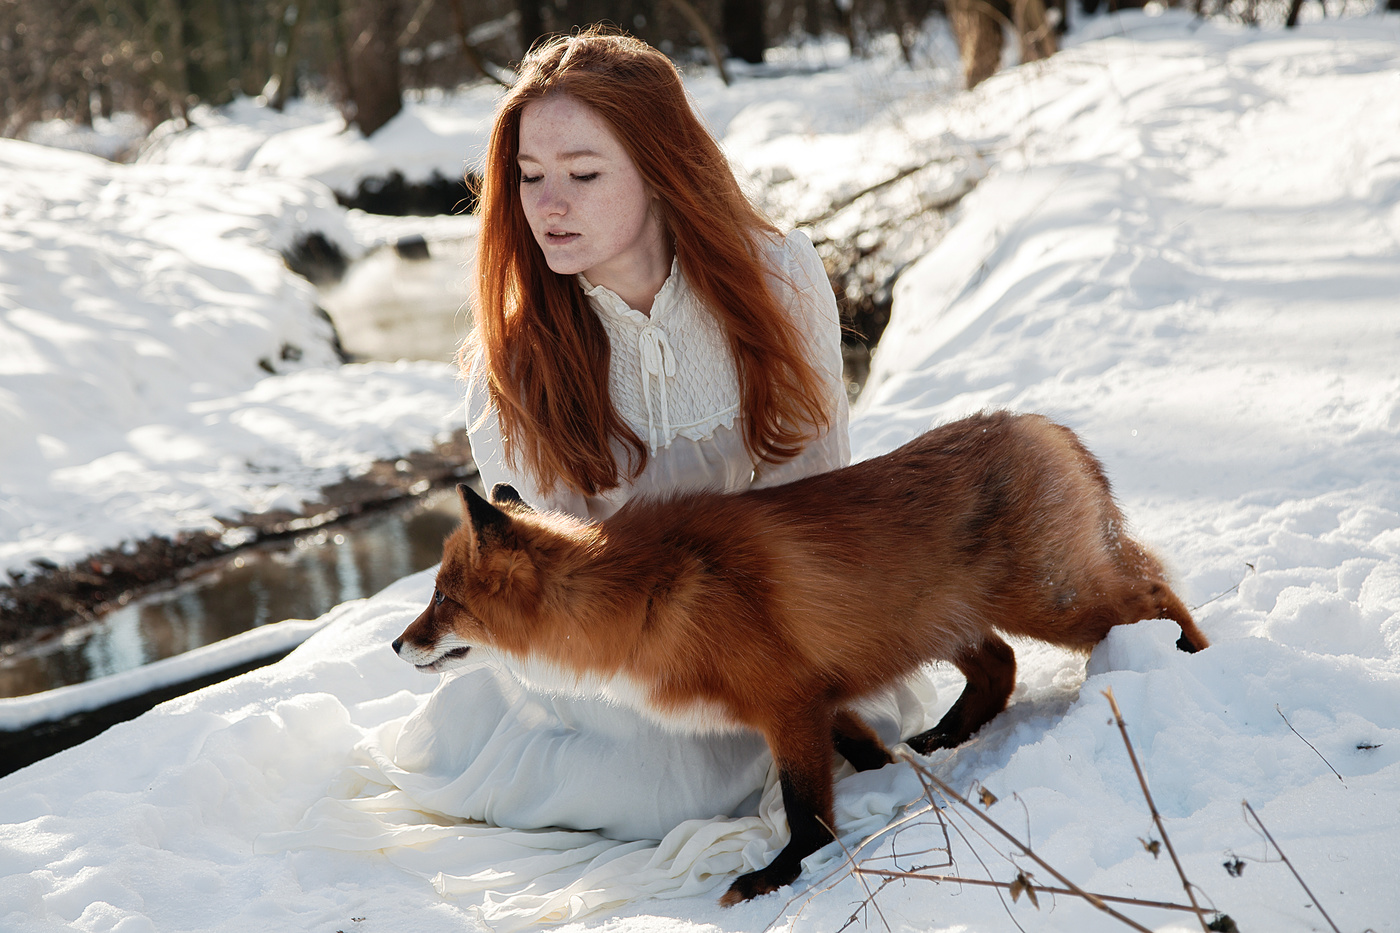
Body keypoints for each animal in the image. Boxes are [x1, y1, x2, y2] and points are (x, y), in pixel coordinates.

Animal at [393, 410, 1208, 906]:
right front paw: (884, 774)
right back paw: (945, 738)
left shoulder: (785, 703)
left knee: (1155, 595)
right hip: (940, 623)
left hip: (1052, 602)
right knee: (1000, 668)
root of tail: (1039, 422)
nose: (398, 644)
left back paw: (1186, 662)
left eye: (442, 599)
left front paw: (772, 877)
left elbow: (804, 811)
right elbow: (856, 749)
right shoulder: (814, 693)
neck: (651, 594)